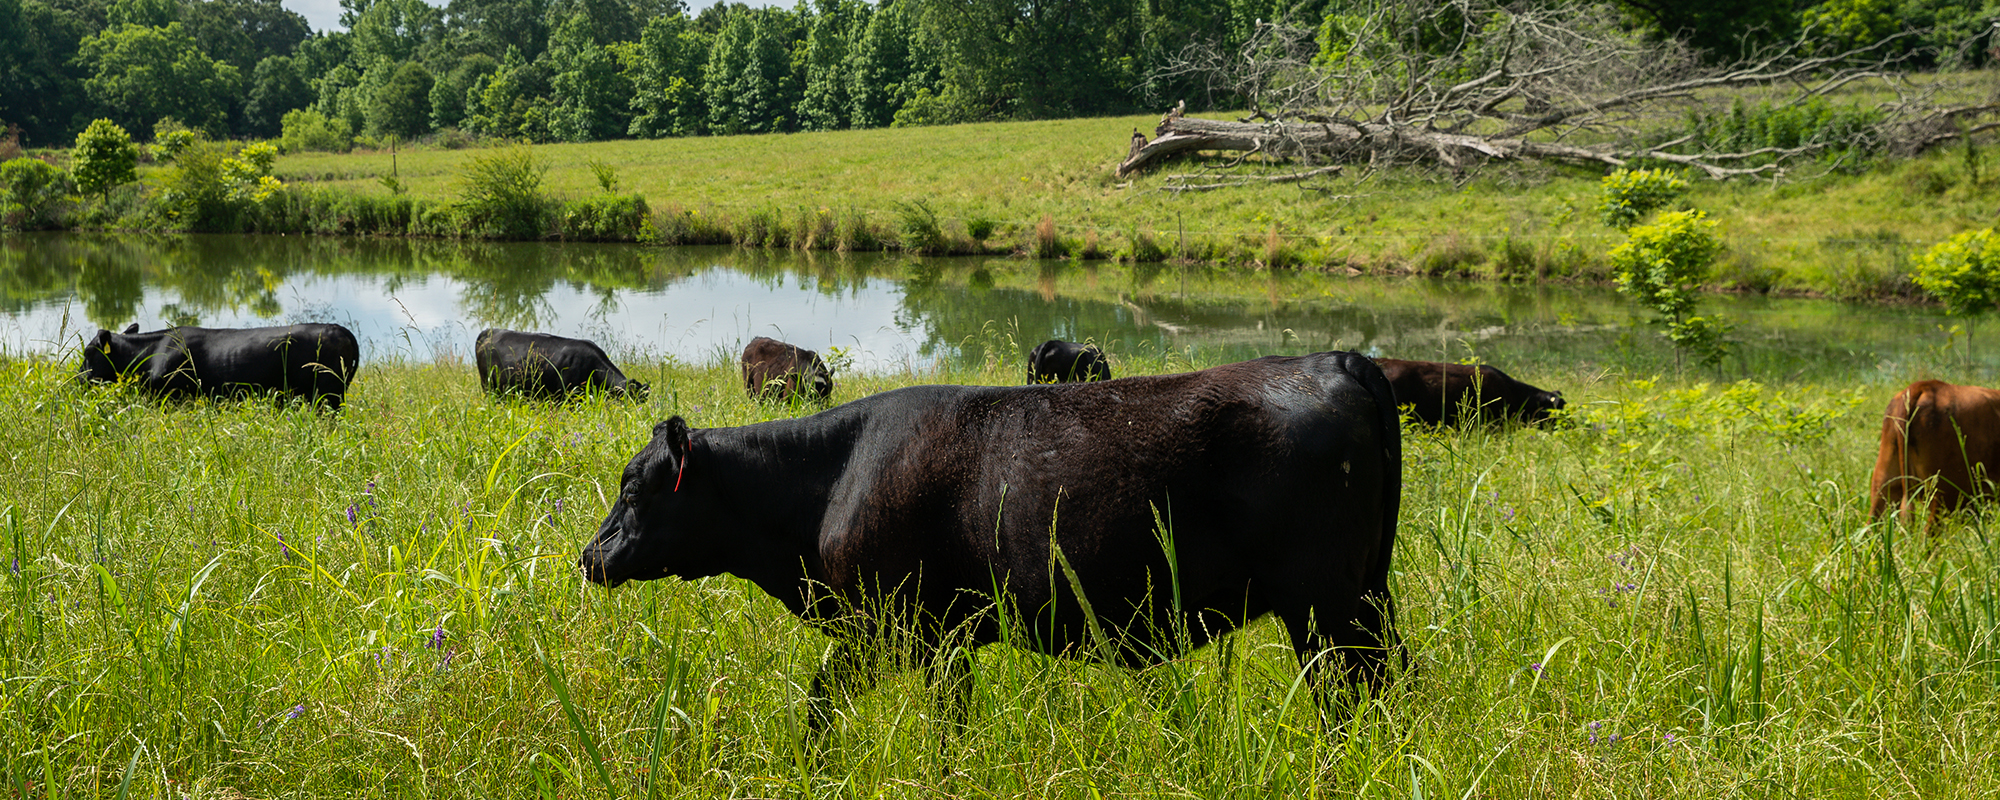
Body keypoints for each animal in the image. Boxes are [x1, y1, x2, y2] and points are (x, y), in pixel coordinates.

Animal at [580, 354, 1408, 728]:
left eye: (633, 487)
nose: (589, 556)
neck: (830, 481)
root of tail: (1333, 360)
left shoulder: (897, 626)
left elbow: (827, 708)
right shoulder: (933, 636)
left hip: (1327, 606)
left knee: (1354, 696)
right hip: (1363, 596)